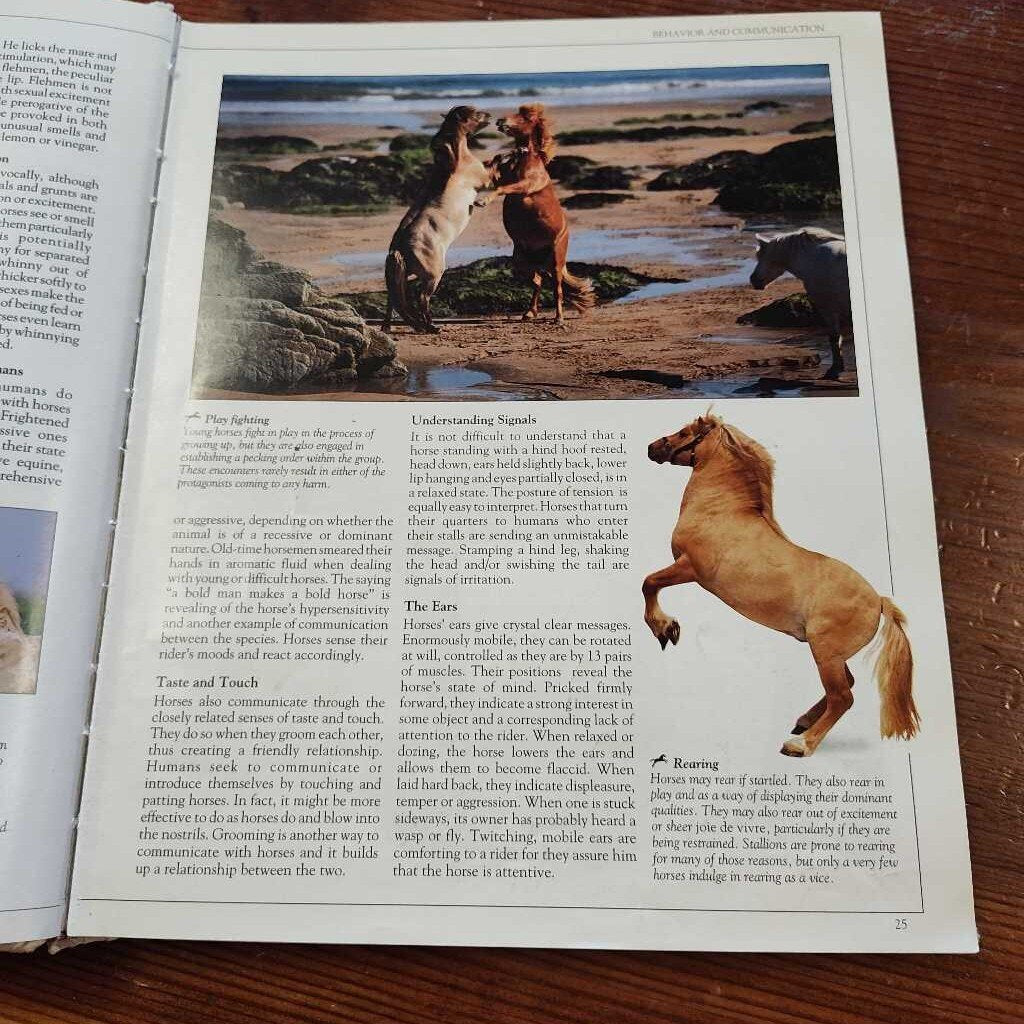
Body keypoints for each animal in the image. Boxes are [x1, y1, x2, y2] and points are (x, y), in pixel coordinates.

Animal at [383, 105, 493, 334]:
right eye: (475, 112)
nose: (490, 115)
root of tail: (398, 247)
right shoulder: (485, 180)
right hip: (433, 274)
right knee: (422, 298)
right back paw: (431, 326)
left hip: (405, 277)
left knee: (394, 299)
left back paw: (389, 326)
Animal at [491, 104, 594, 323]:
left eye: (525, 117)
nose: (500, 121)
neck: (527, 160)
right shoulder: (506, 181)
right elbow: (497, 178)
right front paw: (499, 158)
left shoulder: (524, 186)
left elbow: (500, 189)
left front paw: (481, 200)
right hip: (522, 263)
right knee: (538, 281)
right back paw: (530, 312)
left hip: (555, 261)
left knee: (557, 288)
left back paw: (558, 318)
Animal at [643, 413, 918, 757]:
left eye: (683, 432)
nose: (651, 448)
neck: (721, 512)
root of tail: (879, 601)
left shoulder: (689, 568)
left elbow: (649, 583)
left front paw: (666, 629)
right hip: (832, 655)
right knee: (846, 686)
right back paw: (803, 722)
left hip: (825, 653)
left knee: (843, 697)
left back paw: (800, 744)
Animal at [750, 227, 852, 380]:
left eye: (761, 256)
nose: (753, 279)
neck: (814, 259)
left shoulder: (828, 309)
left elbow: (834, 338)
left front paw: (834, 370)